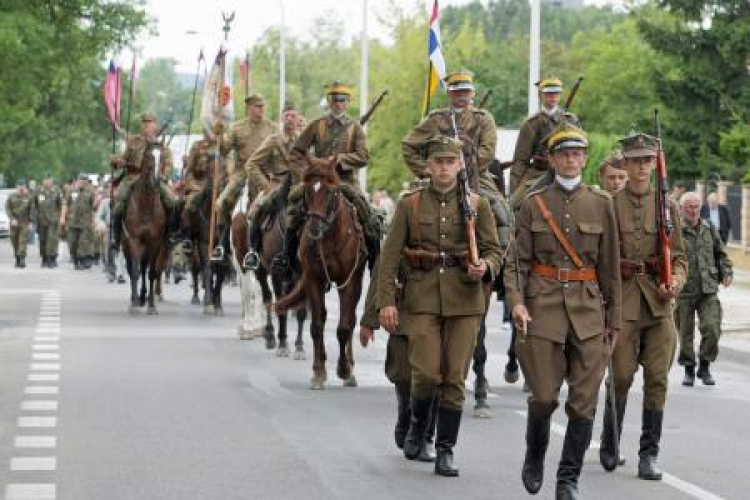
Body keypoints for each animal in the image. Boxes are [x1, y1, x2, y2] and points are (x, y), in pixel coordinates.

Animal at [124, 139, 168, 314]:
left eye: (163, 157)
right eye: (148, 156)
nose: (156, 181)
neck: (146, 205)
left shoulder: (155, 242)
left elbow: (152, 272)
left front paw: (151, 306)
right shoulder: (134, 240)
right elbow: (135, 271)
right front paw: (134, 305)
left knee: (145, 268)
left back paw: (143, 298)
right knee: (132, 269)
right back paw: (135, 299)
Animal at [234, 178, 306, 358]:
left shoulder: (302, 275)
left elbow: (300, 310)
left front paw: (299, 346)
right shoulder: (276, 275)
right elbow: (278, 303)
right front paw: (282, 344)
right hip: (260, 270)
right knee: (266, 297)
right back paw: (270, 335)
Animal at [278, 158, 368, 388]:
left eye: (330, 191)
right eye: (308, 190)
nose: (314, 228)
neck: (330, 238)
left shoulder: (348, 281)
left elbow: (344, 327)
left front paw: (343, 369)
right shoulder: (313, 278)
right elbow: (317, 325)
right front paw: (319, 372)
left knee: (351, 320)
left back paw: (350, 371)